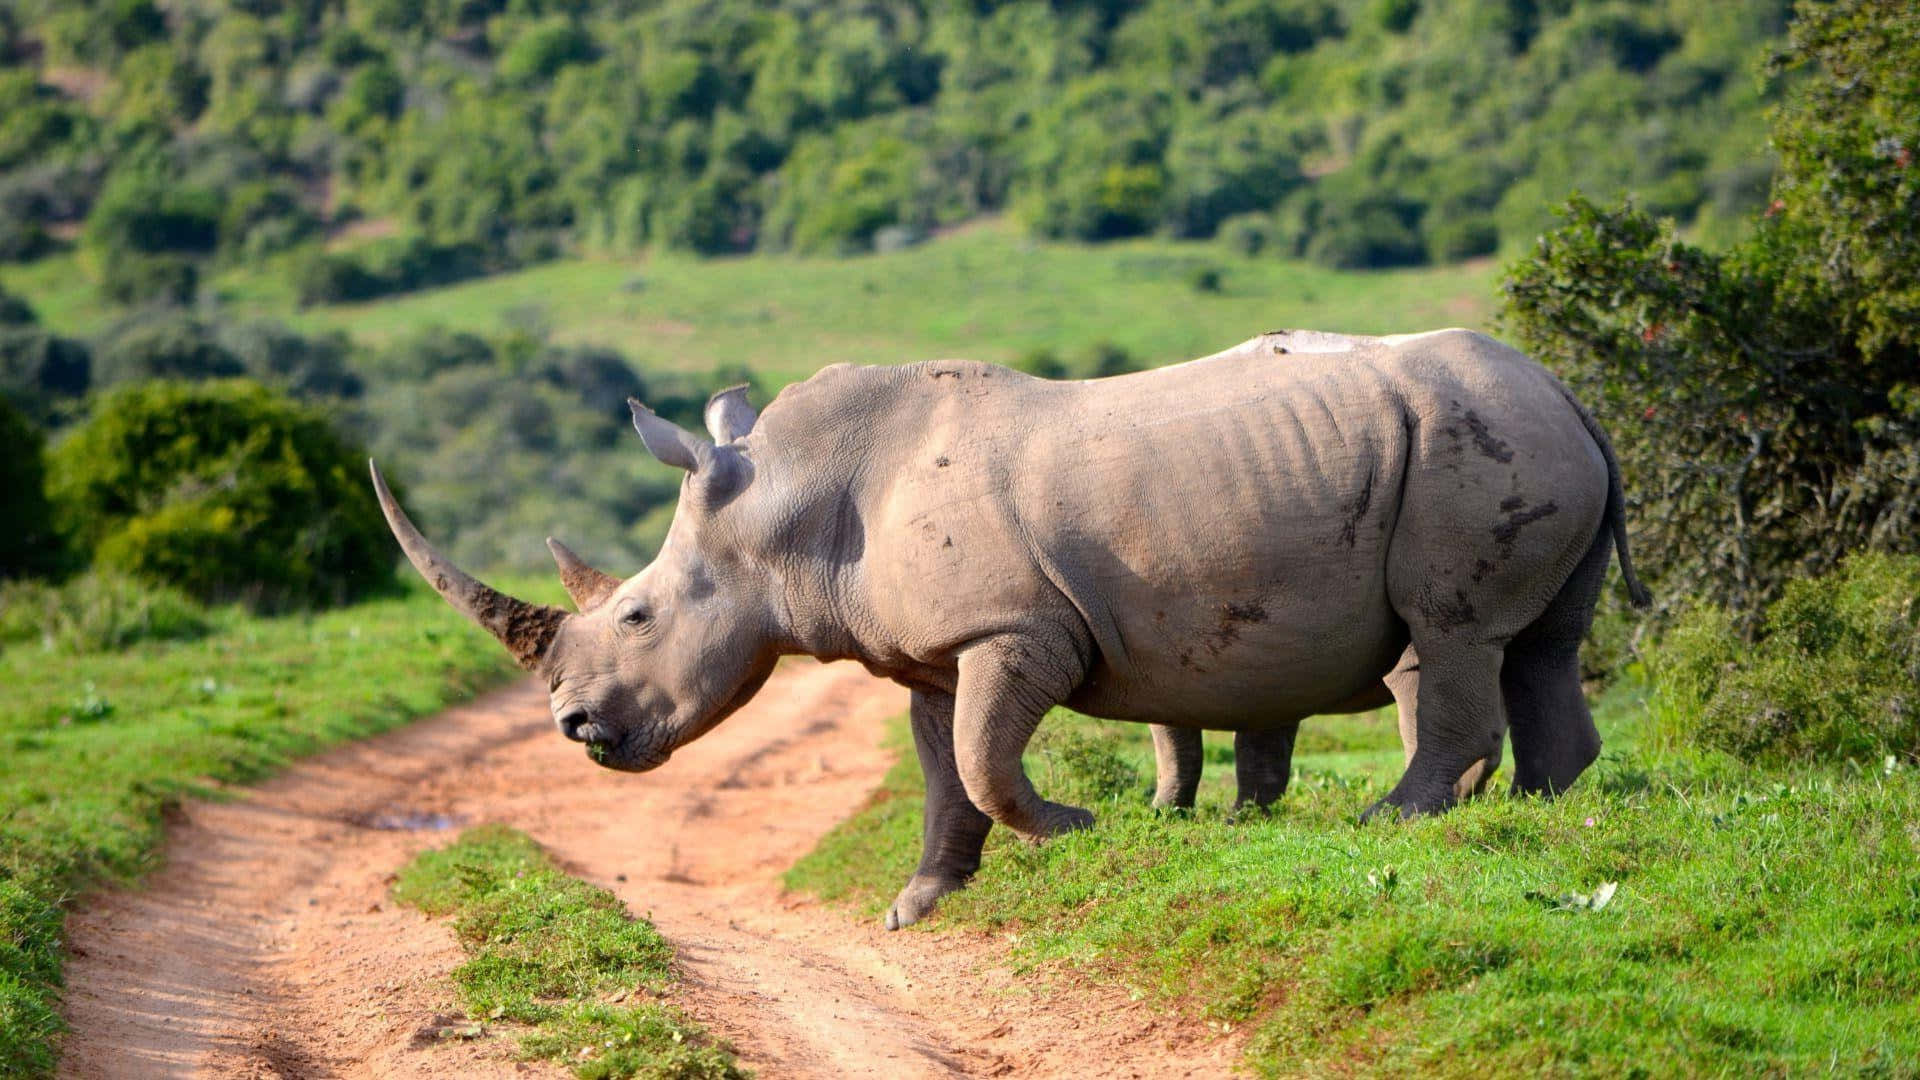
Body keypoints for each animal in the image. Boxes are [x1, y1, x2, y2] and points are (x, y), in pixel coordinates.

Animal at [371, 327, 1648, 930]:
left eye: (636, 614)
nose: (576, 728)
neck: (786, 504)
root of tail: (1571, 391)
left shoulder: (1012, 629)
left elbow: (987, 763)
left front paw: (1081, 829)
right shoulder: (933, 657)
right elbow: (945, 771)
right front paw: (918, 905)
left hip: (1471, 446)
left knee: (1453, 634)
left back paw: (1397, 822)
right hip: (1515, 437)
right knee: (1539, 645)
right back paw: (1542, 811)